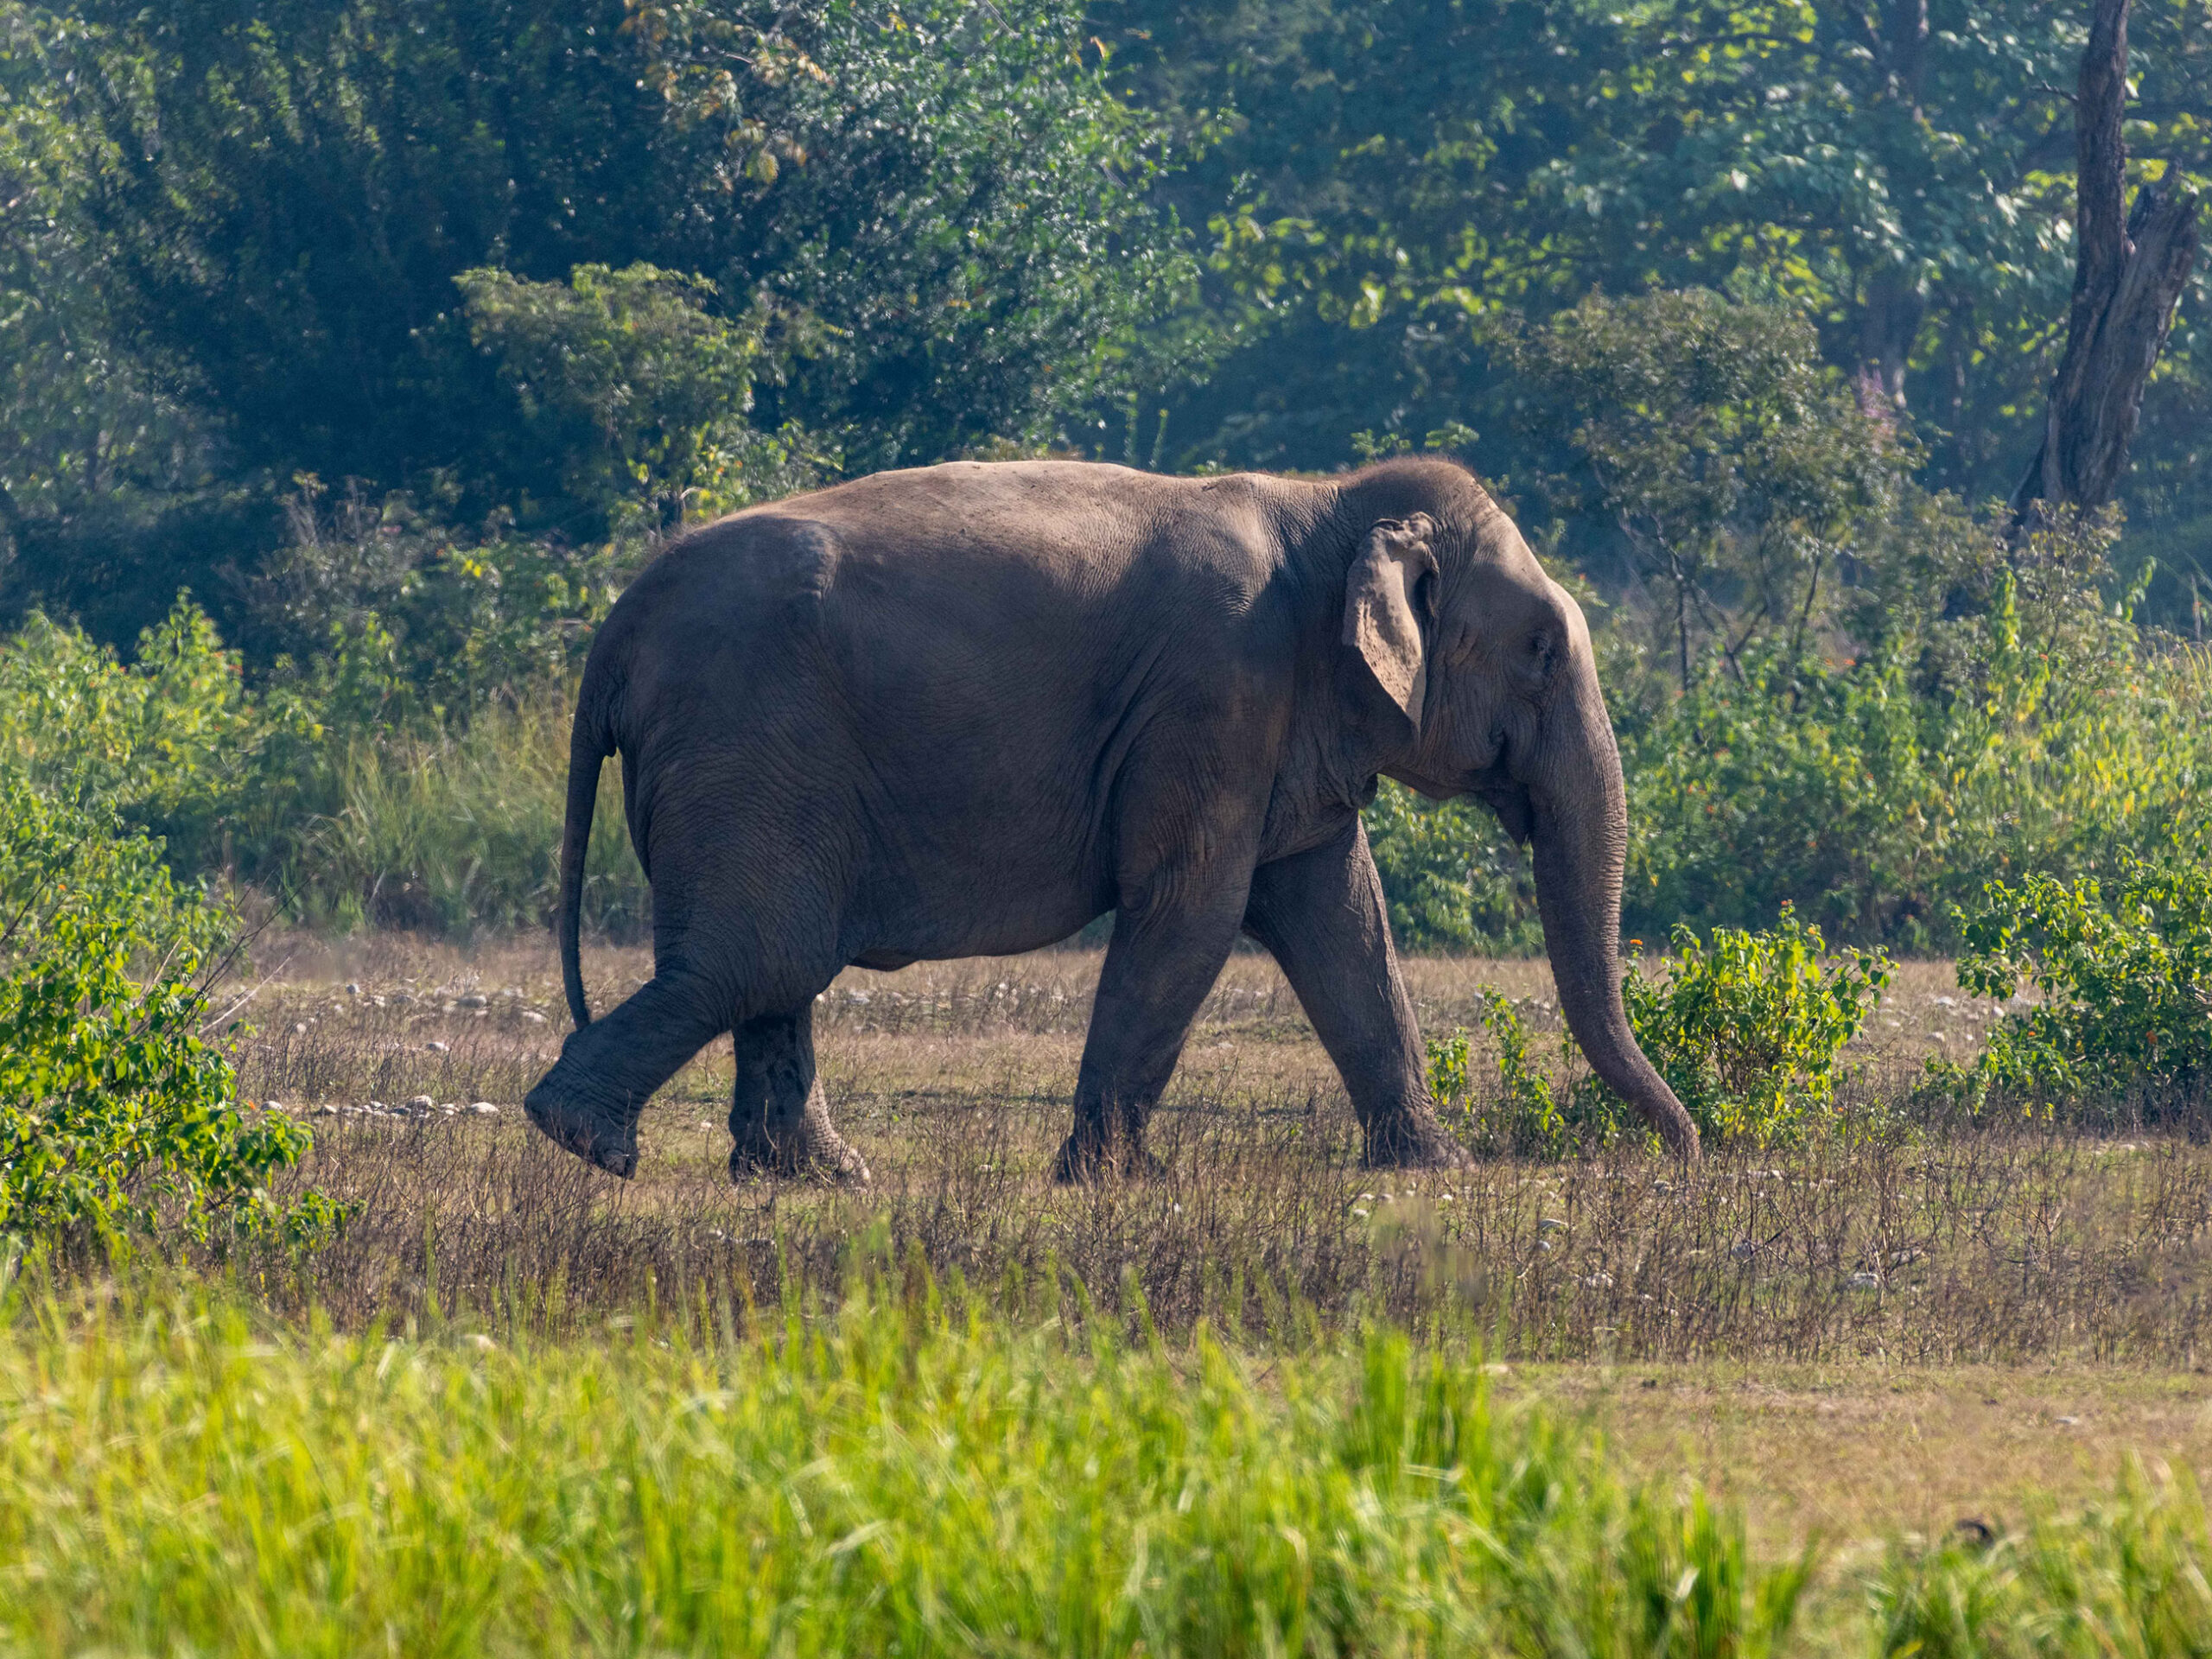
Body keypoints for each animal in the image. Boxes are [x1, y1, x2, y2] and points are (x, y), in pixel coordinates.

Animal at [523, 456, 1699, 1183]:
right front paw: (1117, 1181)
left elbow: (1338, 921)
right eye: (1541, 648)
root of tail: (613, 633)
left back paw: (817, 1178)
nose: (1685, 1152)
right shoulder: (1215, 695)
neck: (1325, 503)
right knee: (759, 953)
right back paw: (585, 1141)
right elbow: (1193, 913)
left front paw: (1435, 1168)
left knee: (771, 963)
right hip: (750, 742)